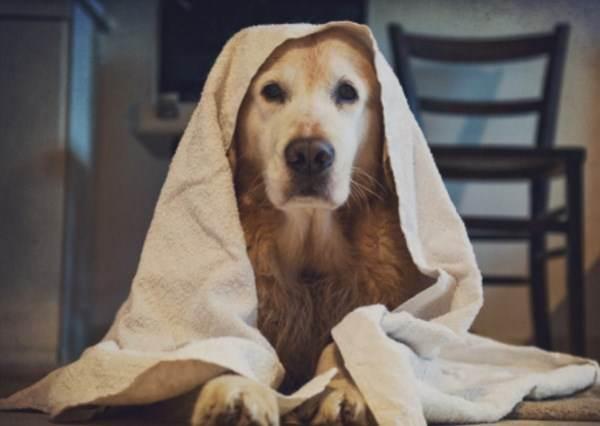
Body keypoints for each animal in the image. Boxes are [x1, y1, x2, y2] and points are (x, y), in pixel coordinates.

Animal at [190, 28, 424, 424]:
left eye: (347, 92)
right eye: (271, 91)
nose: (310, 155)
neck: (311, 259)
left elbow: (346, 344)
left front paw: (343, 390)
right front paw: (238, 390)